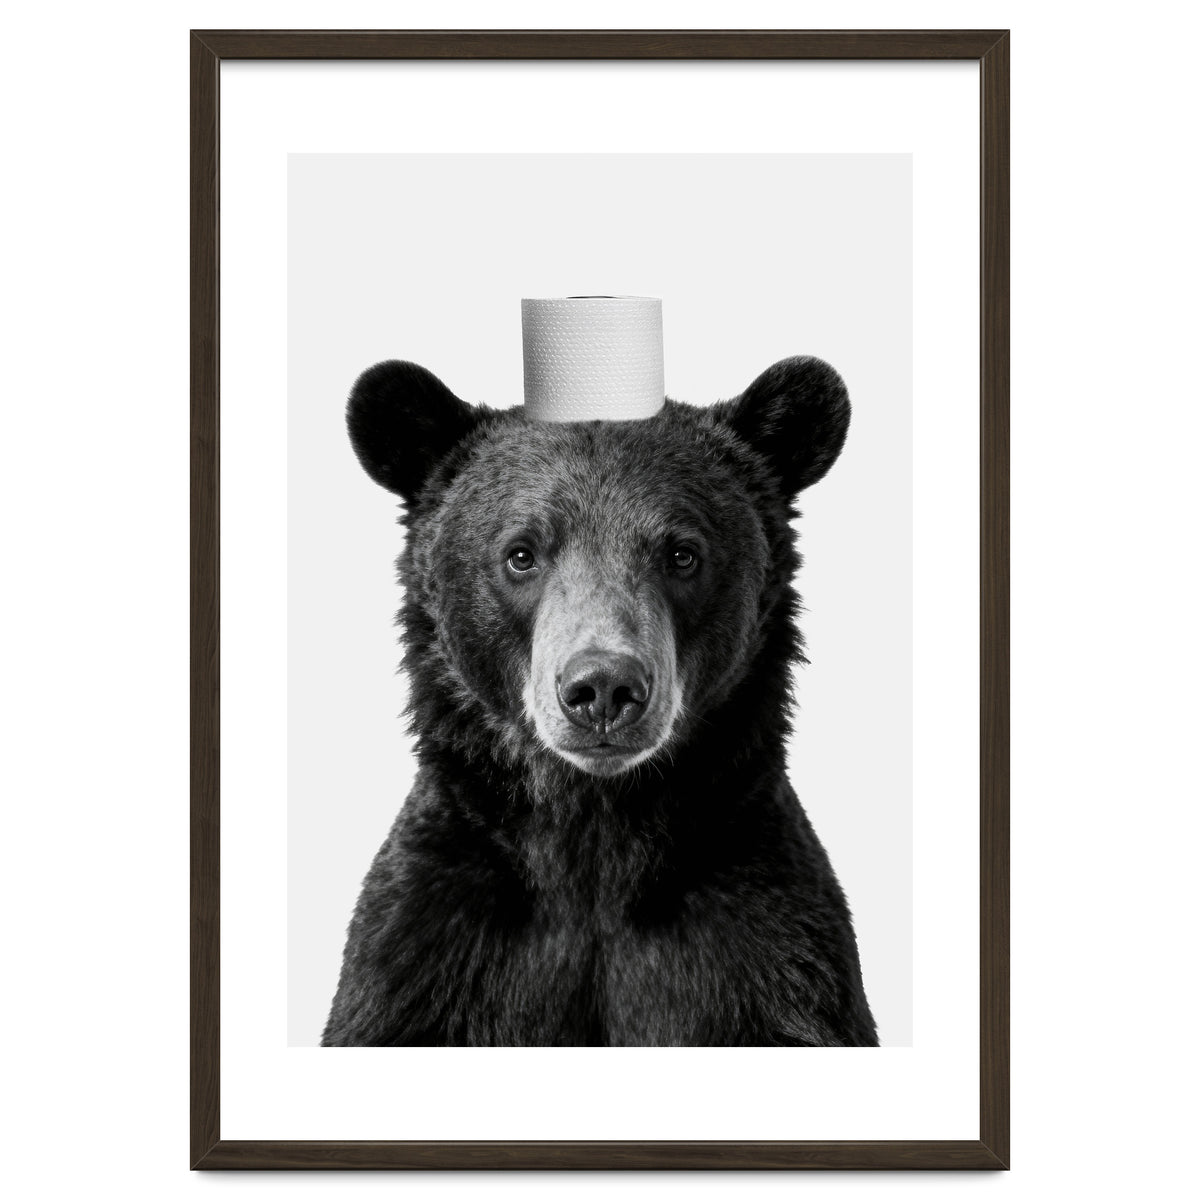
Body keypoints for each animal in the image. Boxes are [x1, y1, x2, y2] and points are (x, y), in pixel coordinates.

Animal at [322, 355, 878, 1047]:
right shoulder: (429, 949)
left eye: (682, 553)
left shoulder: (768, 949)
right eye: (521, 554)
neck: (595, 833)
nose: (604, 688)